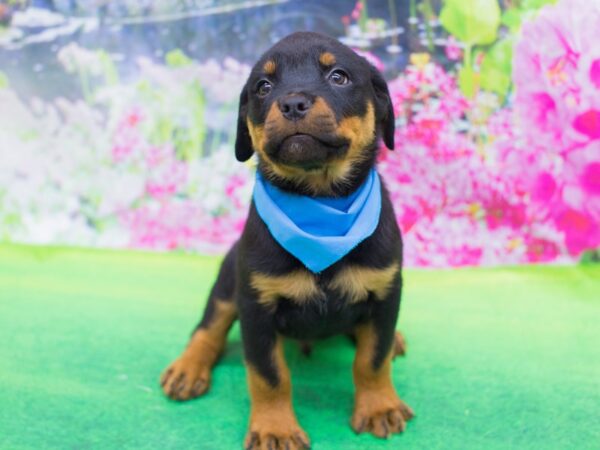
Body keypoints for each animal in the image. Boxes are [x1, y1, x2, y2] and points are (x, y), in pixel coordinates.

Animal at [159, 32, 412, 450]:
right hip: (229, 280)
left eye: (339, 76)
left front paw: (379, 406)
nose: (293, 103)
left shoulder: (384, 294)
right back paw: (188, 367)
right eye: (263, 86)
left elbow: (371, 359)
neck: (320, 201)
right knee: (208, 326)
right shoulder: (256, 307)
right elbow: (269, 375)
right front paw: (275, 428)